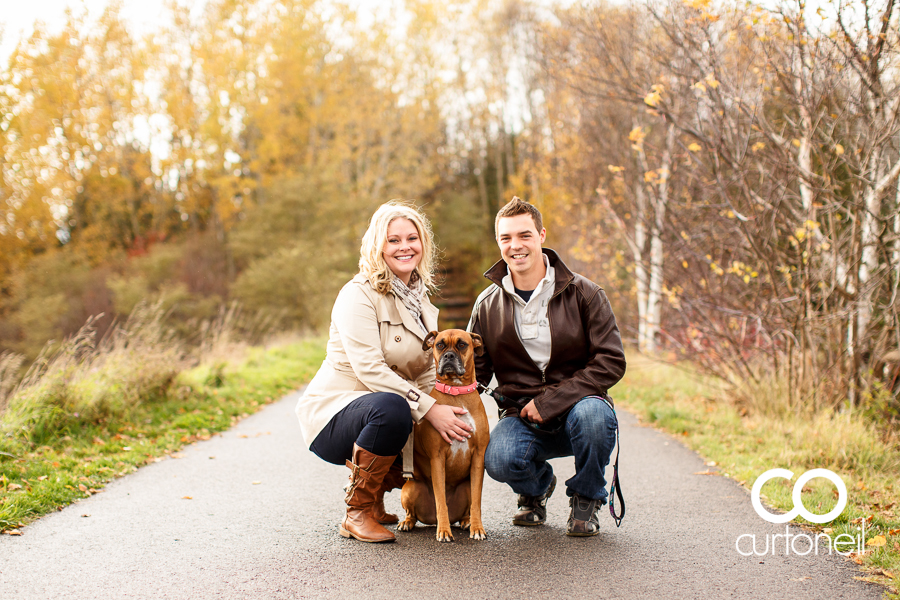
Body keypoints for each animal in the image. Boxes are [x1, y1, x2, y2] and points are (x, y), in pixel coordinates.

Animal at [398, 330, 488, 540]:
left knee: (467, 509)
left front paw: (477, 528)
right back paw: (407, 523)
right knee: (412, 513)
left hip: (466, 486)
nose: (449, 356)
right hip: (411, 488)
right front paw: (444, 531)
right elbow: (441, 500)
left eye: (462, 344)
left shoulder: (478, 457)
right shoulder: (437, 458)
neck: (457, 391)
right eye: (440, 345)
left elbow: (477, 502)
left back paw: (466, 522)